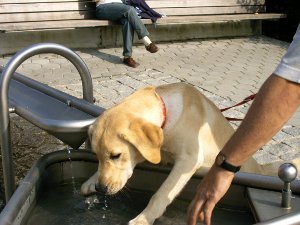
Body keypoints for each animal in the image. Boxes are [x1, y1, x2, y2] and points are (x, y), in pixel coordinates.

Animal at [81, 82, 298, 225]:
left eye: (116, 155)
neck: (166, 115)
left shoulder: (189, 159)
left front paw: (143, 218)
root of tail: (260, 168)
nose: (101, 188)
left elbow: (161, 194)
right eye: (97, 156)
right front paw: (90, 181)